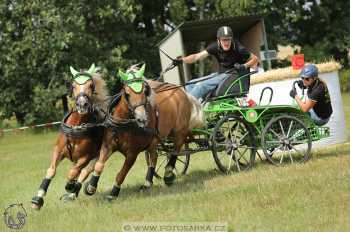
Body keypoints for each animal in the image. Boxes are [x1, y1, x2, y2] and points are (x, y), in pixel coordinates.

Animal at [30, 64, 108, 210]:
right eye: (73, 85)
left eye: (90, 85)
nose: (82, 104)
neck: (76, 127)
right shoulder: (58, 151)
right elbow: (51, 171)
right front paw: (38, 199)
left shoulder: (86, 156)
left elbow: (73, 172)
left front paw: (70, 186)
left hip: (98, 154)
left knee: (86, 171)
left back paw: (73, 191)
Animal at [84, 63, 204, 199]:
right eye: (127, 93)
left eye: (144, 91)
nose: (142, 118)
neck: (124, 125)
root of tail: (182, 92)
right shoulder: (108, 145)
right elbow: (99, 165)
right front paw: (90, 187)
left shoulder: (132, 154)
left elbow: (121, 174)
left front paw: (113, 193)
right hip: (155, 140)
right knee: (154, 158)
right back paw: (148, 183)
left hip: (179, 132)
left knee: (175, 150)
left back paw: (168, 175)